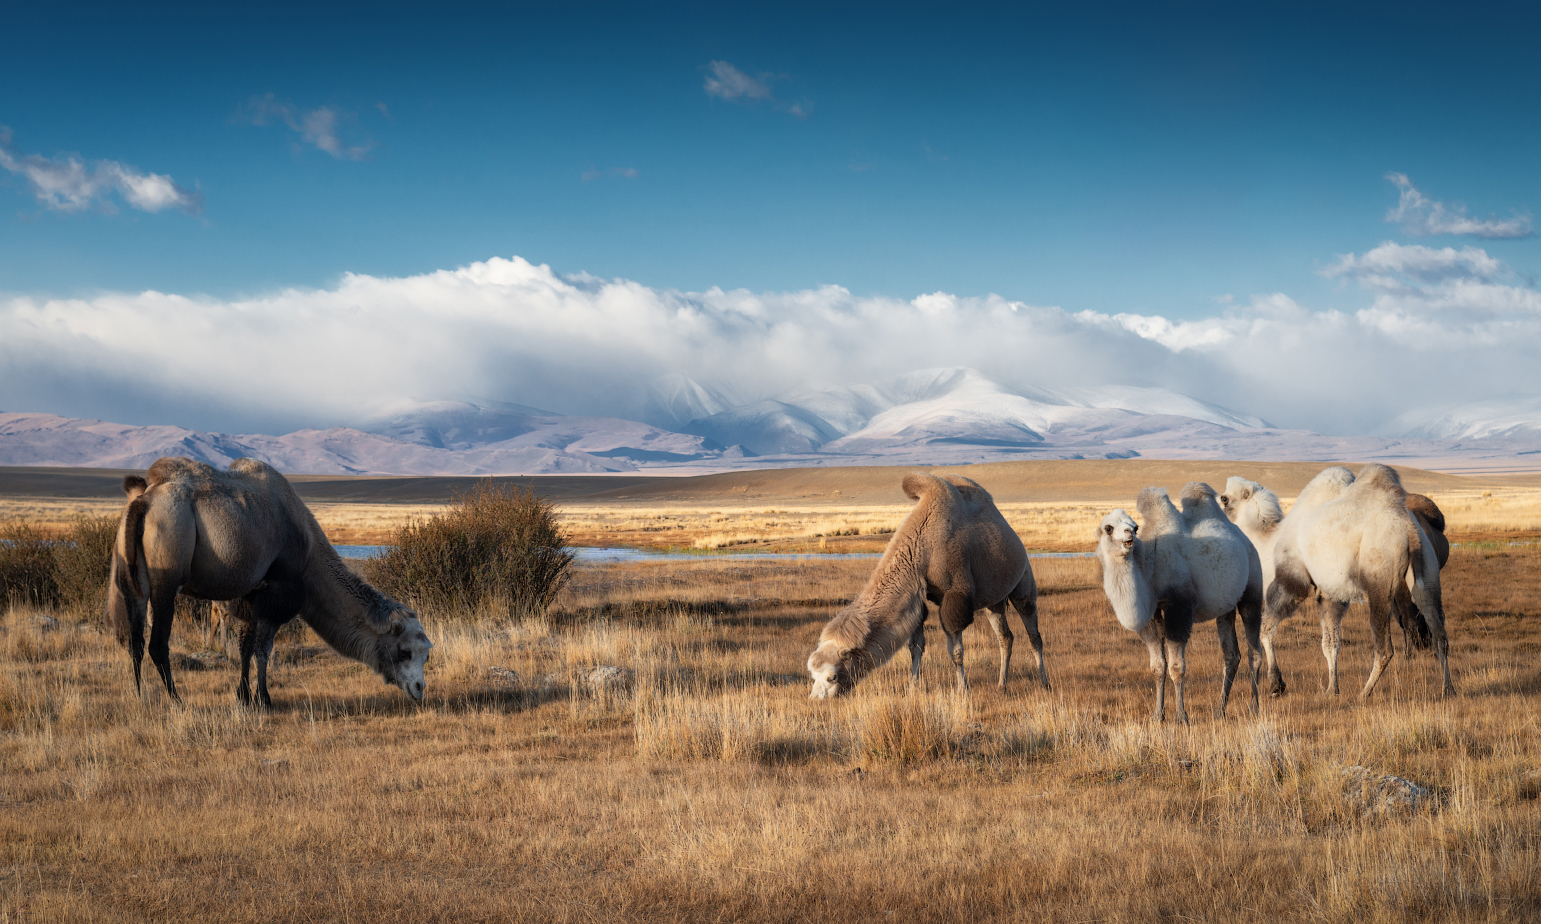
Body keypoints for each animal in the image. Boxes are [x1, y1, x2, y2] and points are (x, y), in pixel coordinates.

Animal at [107, 455, 434, 708]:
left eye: (426, 654)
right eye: (404, 651)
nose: (419, 689)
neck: (309, 556)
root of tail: (144, 501)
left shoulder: (248, 594)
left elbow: (244, 646)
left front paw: (243, 697)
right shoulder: (277, 593)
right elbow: (263, 649)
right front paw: (263, 699)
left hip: (133, 580)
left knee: (135, 640)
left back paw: (140, 696)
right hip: (168, 570)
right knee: (157, 644)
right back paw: (177, 700)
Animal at [807, 474, 1047, 696]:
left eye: (832, 676)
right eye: (812, 674)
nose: (816, 699)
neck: (921, 550)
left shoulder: (955, 595)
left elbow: (956, 650)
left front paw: (963, 689)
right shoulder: (916, 597)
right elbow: (915, 646)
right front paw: (912, 687)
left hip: (1024, 583)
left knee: (1033, 634)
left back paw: (1044, 682)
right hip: (994, 601)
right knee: (1005, 637)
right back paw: (1001, 685)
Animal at [1091, 480, 1257, 726]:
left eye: (1135, 526)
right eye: (1109, 527)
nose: (1129, 533)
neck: (1148, 565)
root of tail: (1244, 538)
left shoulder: (1179, 606)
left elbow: (1177, 667)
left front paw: (1181, 716)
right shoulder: (1151, 613)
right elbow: (1158, 667)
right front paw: (1156, 716)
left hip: (1253, 587)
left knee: (1253, 649)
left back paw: (1255, 706)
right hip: (1226, 606)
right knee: (1231, 655)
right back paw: (1219, 711)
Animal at [1220, 465, 1448, 696]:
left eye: (1225, 499)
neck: (1270, 540)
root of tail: (1407, 527)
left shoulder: (1292, 582)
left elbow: (1266, 630)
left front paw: (1277, 684)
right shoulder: (1330, 594)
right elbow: (1330, 644)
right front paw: (1332, 689)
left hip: (1380, 573)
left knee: (1385, 648)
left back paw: (1364, 693)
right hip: (1427, 565)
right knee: (1439, 633)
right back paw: (1448, 689)